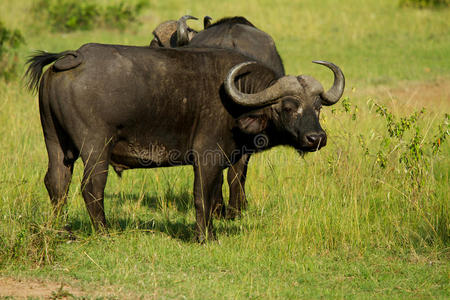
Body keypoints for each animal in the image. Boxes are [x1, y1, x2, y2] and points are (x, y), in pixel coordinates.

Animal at [25, 44, 344, 241]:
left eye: (318, 106)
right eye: (288, 106)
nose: (316, 138)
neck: (237, 101)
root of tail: (72, 57)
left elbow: (214, 194)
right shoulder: (207, 155)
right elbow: (203, 195)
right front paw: (205, 237)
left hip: (55, 143)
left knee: (56, 182)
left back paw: (63, 230)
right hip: (95, 147)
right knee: (91, 187)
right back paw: (104, 232)